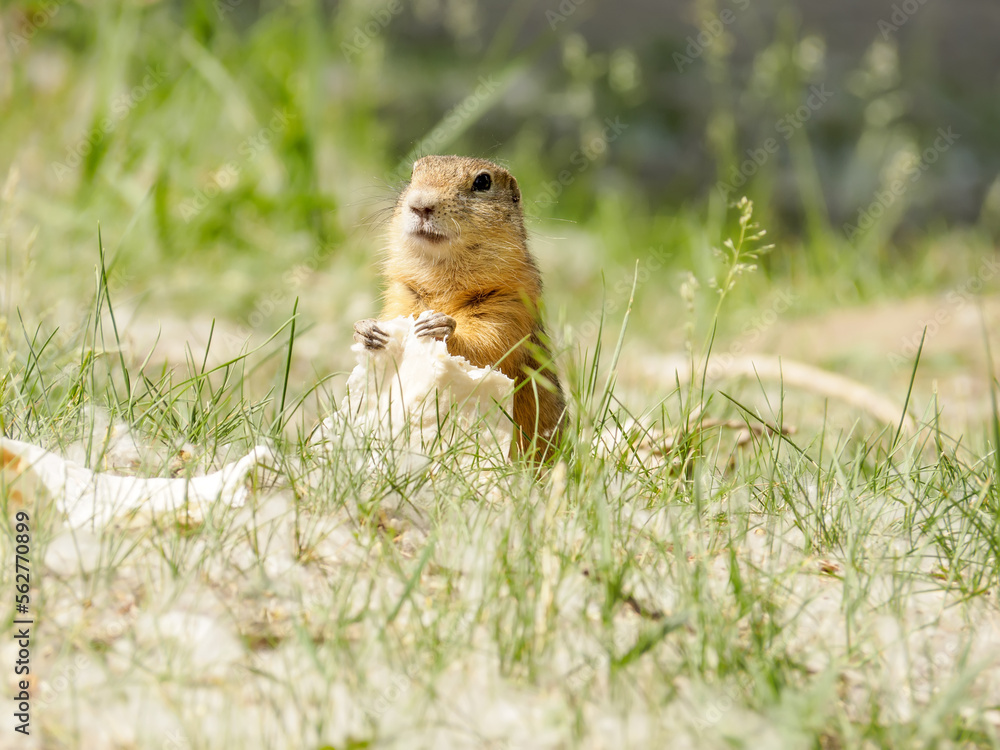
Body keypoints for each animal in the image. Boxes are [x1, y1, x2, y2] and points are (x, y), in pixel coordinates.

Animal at [356, 154, 568, 458]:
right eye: (413, 173)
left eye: (483, 182)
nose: (421, 203)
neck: (443, 276)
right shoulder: (401, 294)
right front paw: (367, 330)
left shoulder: (509, 305)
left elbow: (489, 347)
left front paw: (440, 327)